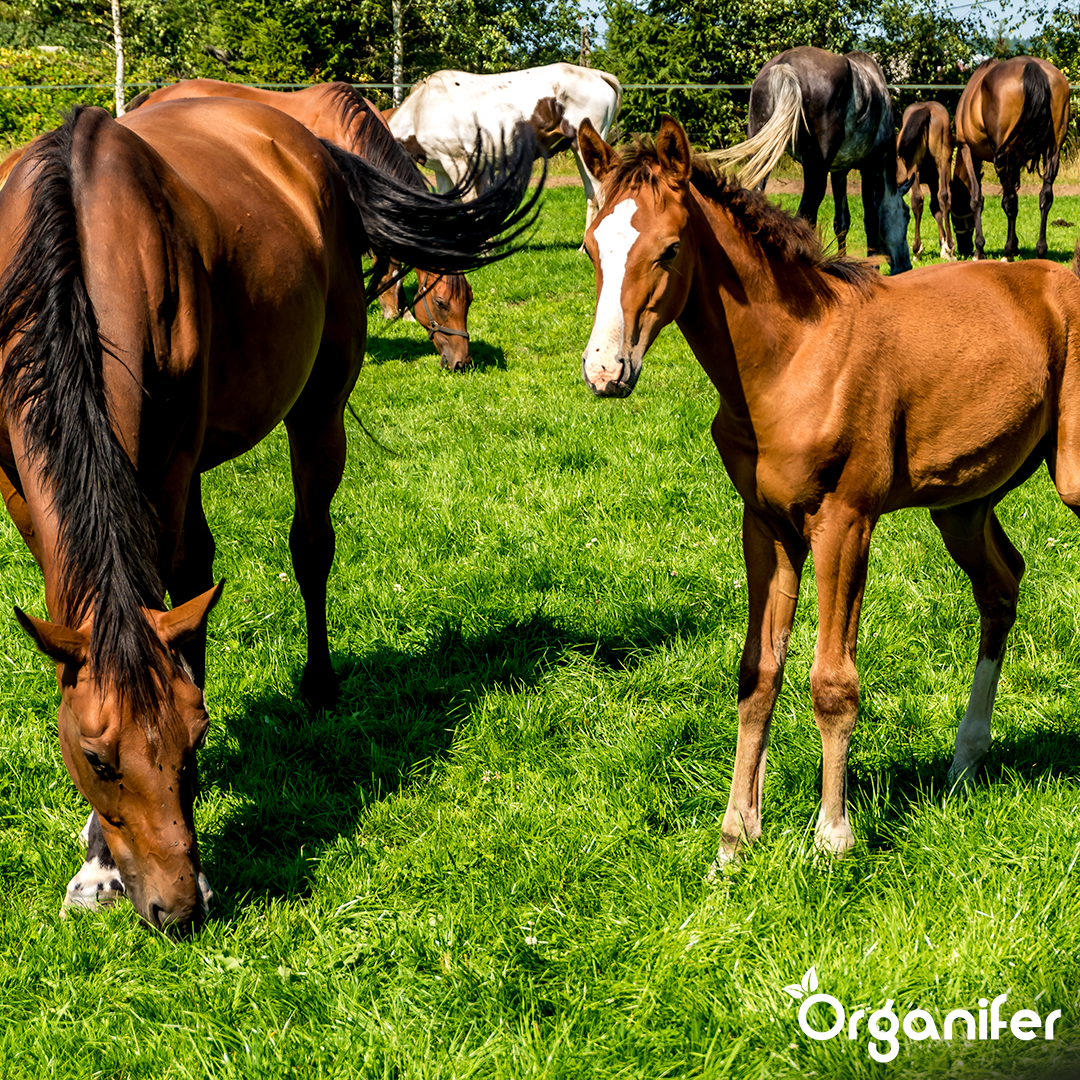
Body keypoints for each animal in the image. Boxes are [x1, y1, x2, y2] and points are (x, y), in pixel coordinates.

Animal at [388, 63, 622, 239]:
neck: (421, 110)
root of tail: (597, 74)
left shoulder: (458, 163)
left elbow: (471, 206)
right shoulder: (442, 169)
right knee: (591, 194)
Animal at [709, 46, 912, 274]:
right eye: (907, 216)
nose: (906, 265)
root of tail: (785, 65)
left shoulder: (839, 172)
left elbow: (842, 222)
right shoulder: (872, 166)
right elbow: (871, 220)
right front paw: (873, 268)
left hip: (762, 157)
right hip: (816, 171)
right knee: (805, 217)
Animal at [896, 100, 955, 260]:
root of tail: (926, 108)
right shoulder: (933, 180)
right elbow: (936, 207)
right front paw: (943, 246)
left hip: (914, 167)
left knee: (917, 199)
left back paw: (917, 250)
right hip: (943, 161)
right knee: (945, 196)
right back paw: (950, 247)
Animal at [952, 56, 1071, 261]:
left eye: (952, 214)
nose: (964, 249)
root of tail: (1033, 66)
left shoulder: (966, 148)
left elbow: (976, 199)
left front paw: (980, 249)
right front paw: (1015, 245)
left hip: (1003, 154)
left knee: (1010, 200)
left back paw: (1007, 253)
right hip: (1052, 151)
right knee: (1045, 197)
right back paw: (1040, 250)